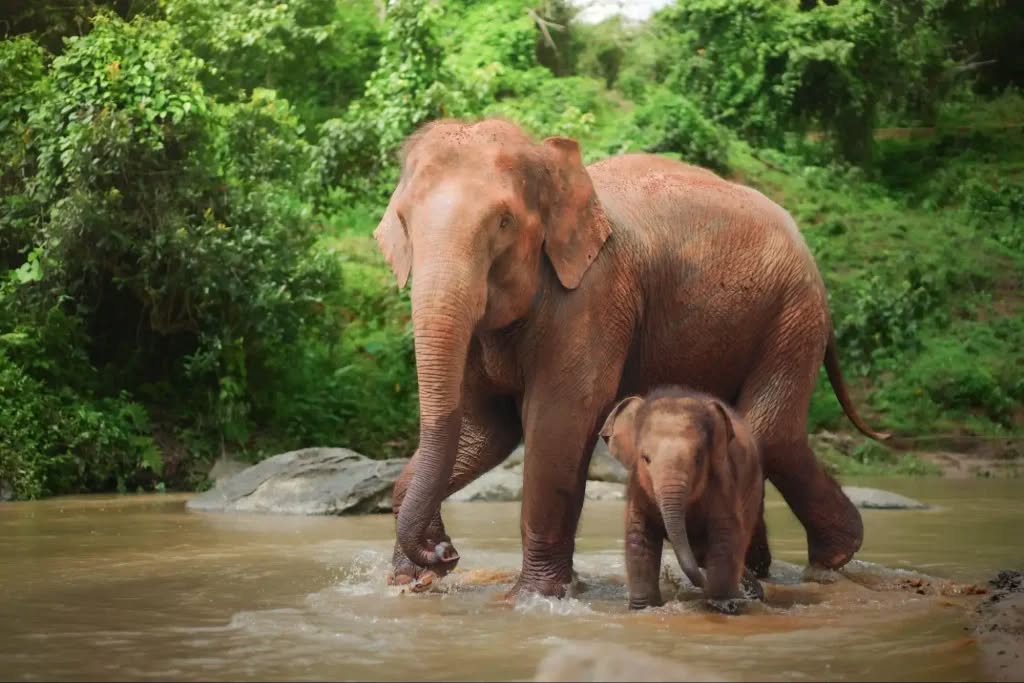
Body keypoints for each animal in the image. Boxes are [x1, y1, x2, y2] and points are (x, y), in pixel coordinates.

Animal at [599, 387, 766, 612]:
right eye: (645, 458)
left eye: (698, 458)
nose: (704, 587)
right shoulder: (637, 488)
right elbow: (639, 535)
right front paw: (643, 608)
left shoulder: (722, 481)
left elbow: (725, 534)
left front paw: (723, 603)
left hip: (753, 489)